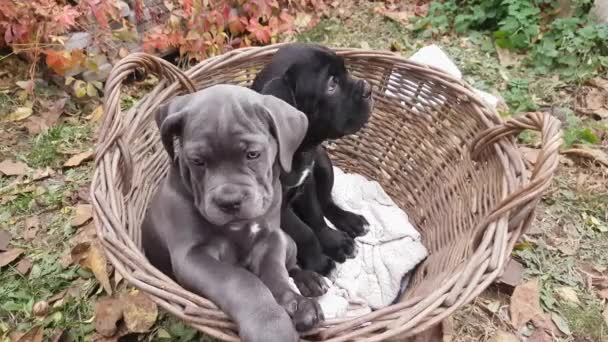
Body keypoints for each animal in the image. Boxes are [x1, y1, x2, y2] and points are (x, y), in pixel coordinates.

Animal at [142, 83, 328, 342]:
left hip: (287, 240)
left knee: (292, 265)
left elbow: (275, 272)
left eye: (253, 154)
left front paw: (297, 304)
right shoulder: (192, 256)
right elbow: (241, 280)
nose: (229, 202)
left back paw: (309, 280)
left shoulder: (271, 237)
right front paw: (270, 325)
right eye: (197, 161)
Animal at [249, 42, 372, 276]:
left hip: (323, 163)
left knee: (326, 201)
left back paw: (350, 221)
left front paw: (333, 242)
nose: (369, 88)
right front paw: (319, 262)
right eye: (331, 84)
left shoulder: (306, 183)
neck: (298, 151)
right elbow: (303, 232)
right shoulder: (277, 210)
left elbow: (315, 216)